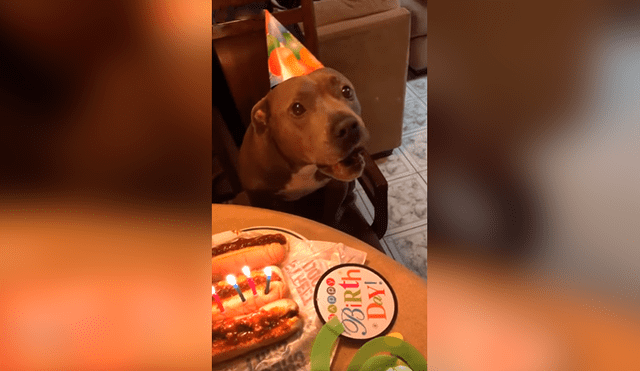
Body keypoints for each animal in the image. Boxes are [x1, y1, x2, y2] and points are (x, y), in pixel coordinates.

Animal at [238, 67, 370, 224]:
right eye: (297, 108)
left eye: (346, 90)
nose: (348, 127)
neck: (302, 167)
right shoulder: (260, 199)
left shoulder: (337, 187)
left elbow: (329, 215)